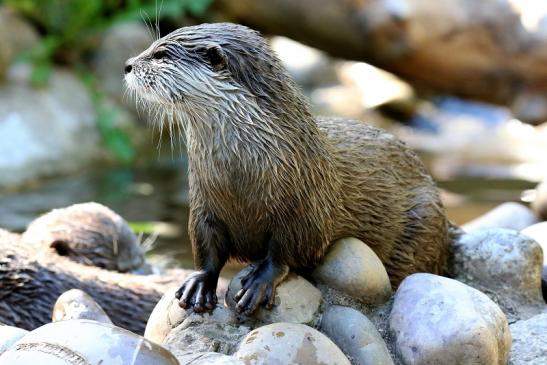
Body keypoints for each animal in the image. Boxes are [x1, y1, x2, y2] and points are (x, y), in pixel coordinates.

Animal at [124, 22, 454, 314]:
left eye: (160, 55)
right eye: (152, 47)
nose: (127, 65)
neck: (241, 176)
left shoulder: (304, 207)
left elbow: (290, 247)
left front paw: (260, 280)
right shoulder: (204, 202)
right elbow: (207, 247)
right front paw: (200, 283)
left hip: (423, 223)